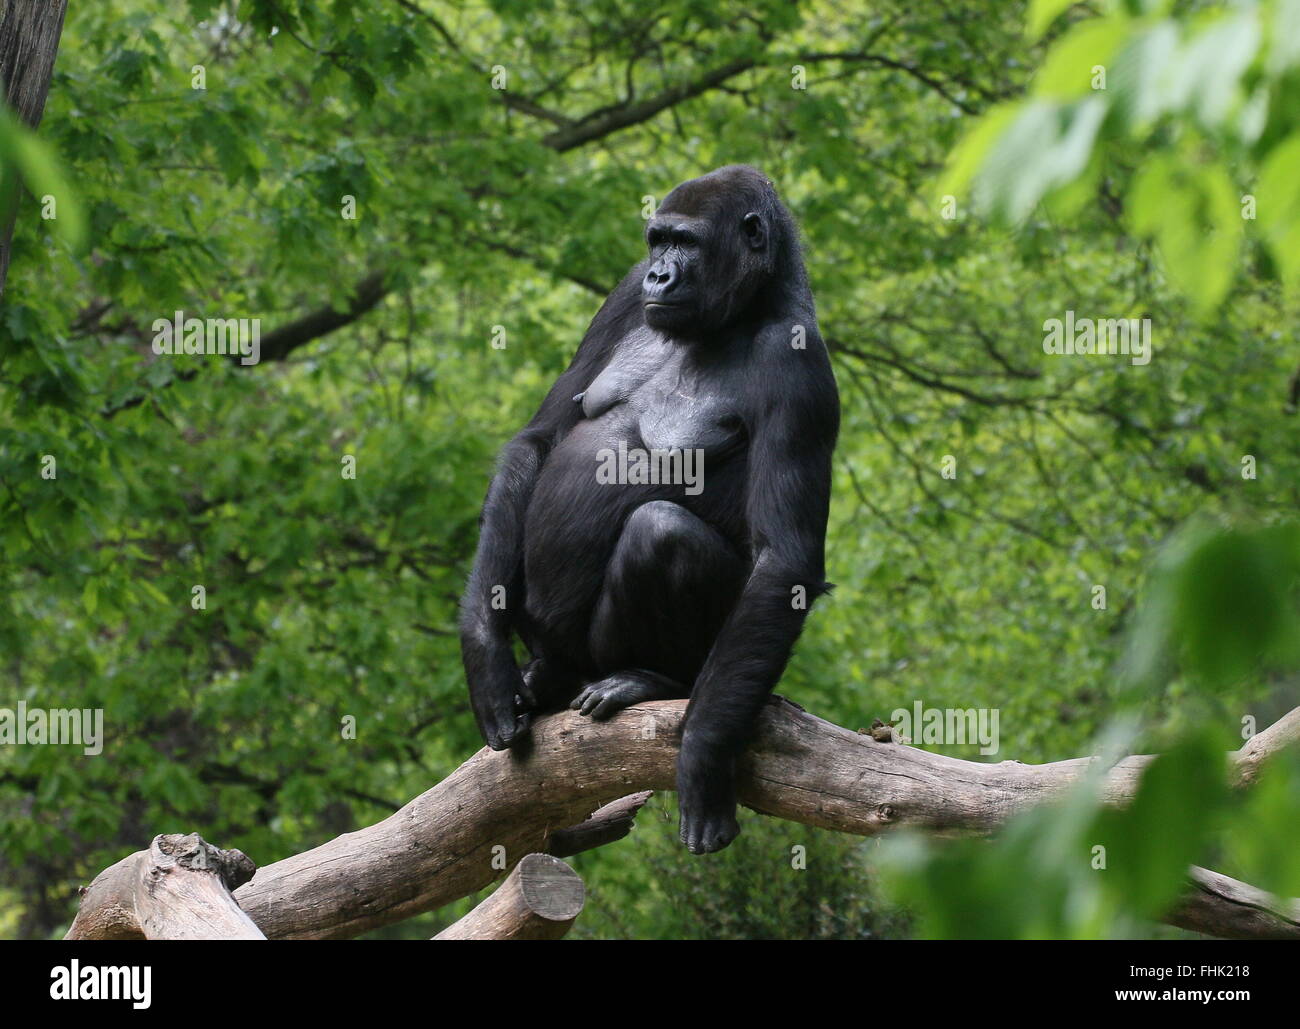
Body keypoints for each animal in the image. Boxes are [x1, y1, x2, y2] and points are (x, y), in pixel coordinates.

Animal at [462, 165, 837, 857]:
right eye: (657, 241)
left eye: (686, 243)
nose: (660, 276)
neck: (746, 309)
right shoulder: (623, 293)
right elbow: (538, 440)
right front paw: (484, 652)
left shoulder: (798, 361)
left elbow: (785, 562)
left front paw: (702, 756)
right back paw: (543, 675)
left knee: (662, 534)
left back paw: (655, 682)